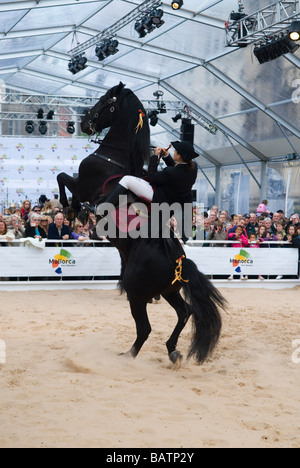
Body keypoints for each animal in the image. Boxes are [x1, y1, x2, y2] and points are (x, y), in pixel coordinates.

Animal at [56, 84, 225, 370]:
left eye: (106, 101)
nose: (85, 123)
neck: (113, 160)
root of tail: (180, 262)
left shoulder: (83, 185)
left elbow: (62, 178)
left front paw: (73, 209)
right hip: (168, 293)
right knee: (185, 312)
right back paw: (172, 351)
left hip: (136, 294)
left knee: (145, 328)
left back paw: (128, 356)